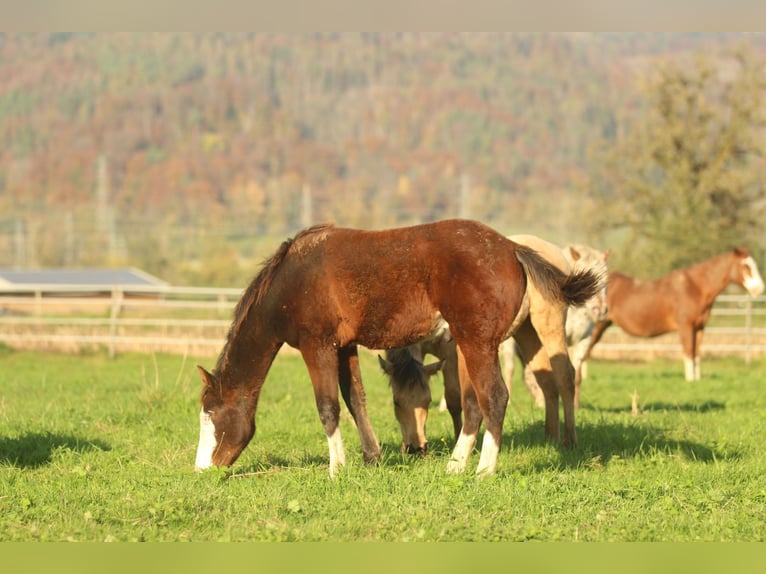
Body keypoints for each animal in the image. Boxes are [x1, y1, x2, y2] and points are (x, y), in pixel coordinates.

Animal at [504, 241, 612, 412]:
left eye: (606, 278)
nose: (600, 310)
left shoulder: (583, 340)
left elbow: (576, 374)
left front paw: (575, 405)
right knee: (510, 369)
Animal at [588, 250, 760, 384]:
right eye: (746, 266)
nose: (759, 289)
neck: (695, 288)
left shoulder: (699, 328)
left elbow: (697, 354)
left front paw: (697, 380)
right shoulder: (686, 327)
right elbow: (688, 352)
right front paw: (690, 380)